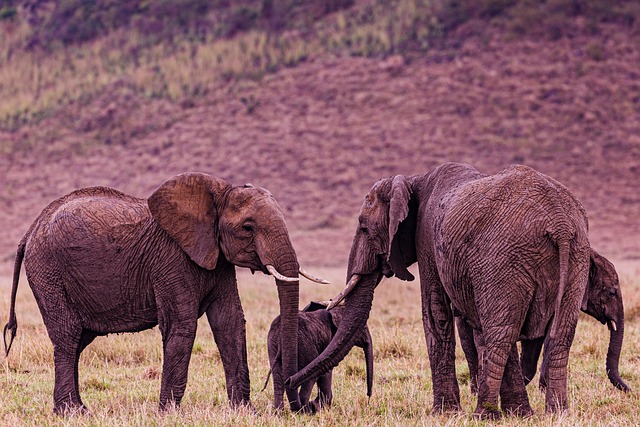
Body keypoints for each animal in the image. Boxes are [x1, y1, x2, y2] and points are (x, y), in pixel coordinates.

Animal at [2, 173, 328, 414]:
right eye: (248, 228)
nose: (297, 407)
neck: (216, 195)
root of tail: (29, 231)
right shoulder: (172, 260)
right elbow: (182, 325)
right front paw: (169, 413)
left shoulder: (218, 258)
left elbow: (230, 322)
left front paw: (244, 412)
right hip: (48, 272)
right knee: (68, 337)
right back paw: (73, 413)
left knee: (78, 340)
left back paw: (76, 410)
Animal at [288, 163, 592, 418]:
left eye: (363, 227)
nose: (295, 386)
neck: (413, 180)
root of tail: (560, 225)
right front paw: (519, 415)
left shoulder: (427, 240)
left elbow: (435, 312)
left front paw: (444, 413)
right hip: (576, 257)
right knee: (560, 335)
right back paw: (557, 414)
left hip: (507, 260)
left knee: (501, 333)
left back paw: (483, 415)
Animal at [458, 249, 628, 396]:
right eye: (611, 293)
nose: (630, 390)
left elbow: (536, 347)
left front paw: (539, 390)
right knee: (470, 347)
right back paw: (475, 391)